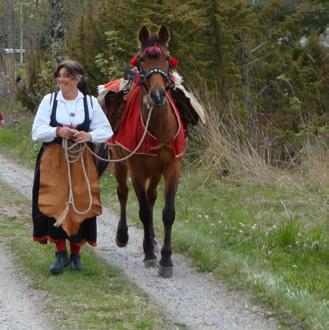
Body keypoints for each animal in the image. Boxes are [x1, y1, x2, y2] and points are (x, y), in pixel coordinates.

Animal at [96, 26, 184, 278]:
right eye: (142, 59)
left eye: (167, 58)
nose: (157, 95)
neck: (158, 128)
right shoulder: (136, 170)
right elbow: (143, 211)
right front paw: (149, 254)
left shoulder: (172, 168)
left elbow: (167, 212)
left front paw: (166, 258)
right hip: (119, 161)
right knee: (123, 193)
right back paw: (123, 235)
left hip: (154, 171)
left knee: (152, 197)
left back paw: (152, 238)